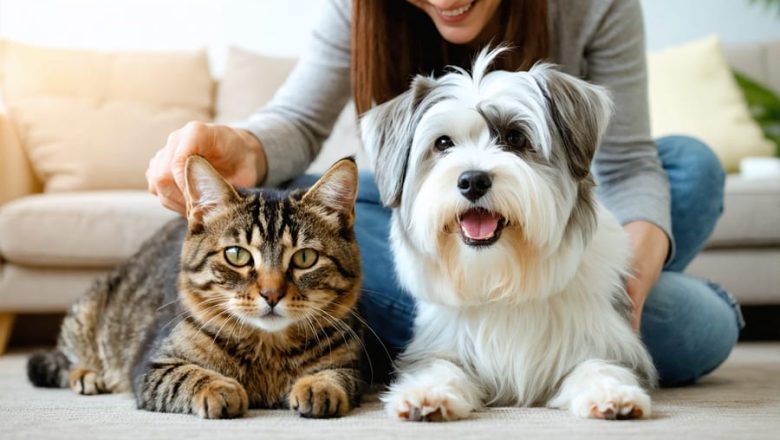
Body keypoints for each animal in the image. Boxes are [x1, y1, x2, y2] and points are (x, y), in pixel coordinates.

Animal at [25, 156, 364, 418]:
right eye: (237, 255)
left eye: (305, 258)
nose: (271, 294)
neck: (268, 351)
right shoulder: (152, 366)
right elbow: (188, 374)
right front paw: (219, 387)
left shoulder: (353, 365)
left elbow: (338, 374)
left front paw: (319, 385)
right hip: (85, 314)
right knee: (69, 356)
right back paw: (88, 376)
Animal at [360, 46, 660, 422]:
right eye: (443, 143)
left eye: (515, 137)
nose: (473, 180)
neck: (502, 277)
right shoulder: (439, 345)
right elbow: (441, 366)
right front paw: (427, 394)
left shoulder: (608, 341)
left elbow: (599, 364)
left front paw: (611, 393)